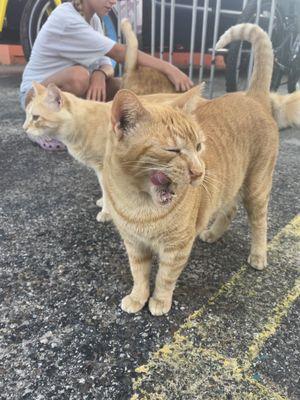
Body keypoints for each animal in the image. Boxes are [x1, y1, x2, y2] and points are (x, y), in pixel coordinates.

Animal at [104, 22, 280, 316]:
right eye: (172, 150)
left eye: (199, 146)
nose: (200, 171)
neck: (140, 205)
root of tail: (251, 96)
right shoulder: (134, 244)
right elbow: (139, 274)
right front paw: (138, 297)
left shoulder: (176, 248)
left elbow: (165, 277)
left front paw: (159, 301)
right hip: (231, 184)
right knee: (229, 209)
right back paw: (213, 233)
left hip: (256, 187)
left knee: (259, 223)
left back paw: (258, 255)